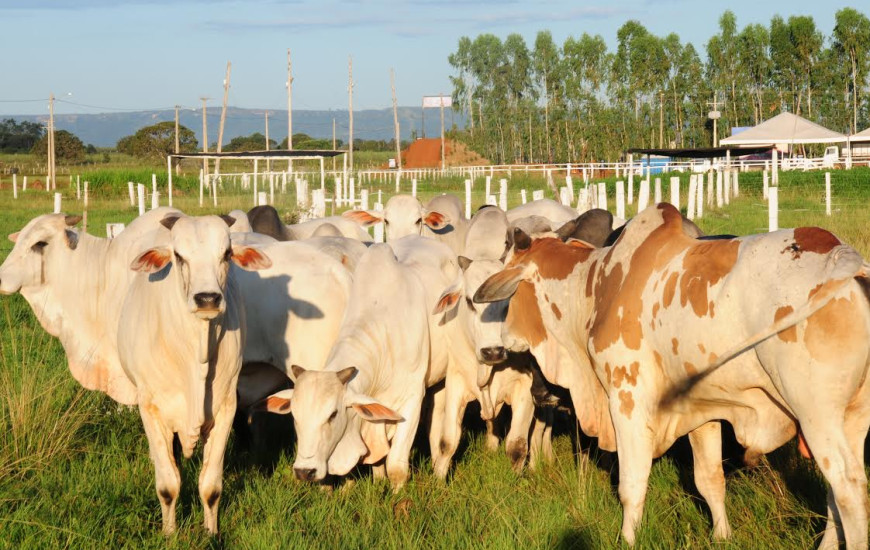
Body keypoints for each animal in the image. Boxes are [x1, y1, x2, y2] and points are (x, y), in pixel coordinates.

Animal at [117, 216, 270, 536]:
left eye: (226, 253)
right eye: (179, 256)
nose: (207, 298)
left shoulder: (226, 408)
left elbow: (210, 487)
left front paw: (211, 533)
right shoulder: (150, 408)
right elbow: (168, 485)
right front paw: (169, 533)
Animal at [480, 204, 870, 550]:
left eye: (508, 294)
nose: (502, 340)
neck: (596, 287)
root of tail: (845, 258)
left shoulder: (627, 400)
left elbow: (631, 483)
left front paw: (627, 539)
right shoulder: (702, 410)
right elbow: (709, 479)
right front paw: (721, 536)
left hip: (817, 417)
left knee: (849, 488)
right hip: (852, 418)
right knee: (836, 494)